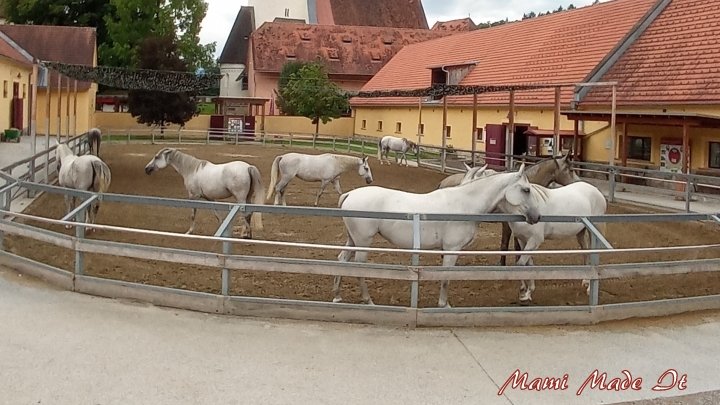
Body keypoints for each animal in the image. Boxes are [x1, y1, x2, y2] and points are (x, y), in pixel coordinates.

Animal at [334, 164, 542, 308]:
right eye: (526, 190)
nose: (536, 217)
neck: (464, 204)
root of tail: (350, 195)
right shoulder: (452, 249)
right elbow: (446, 278)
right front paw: (444, 305)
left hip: (353, 240)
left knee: (342, 260)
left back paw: (337, 296)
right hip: (363, 242)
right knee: (358, 268)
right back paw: (368, 301)